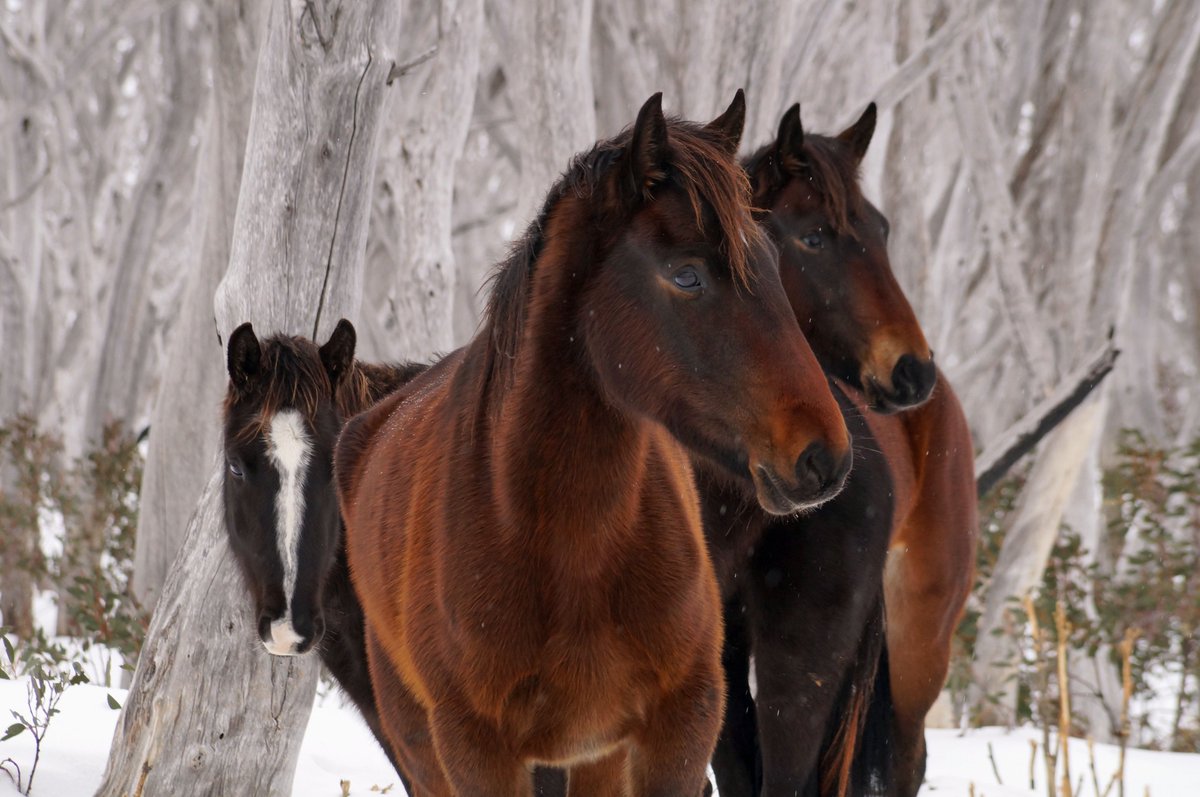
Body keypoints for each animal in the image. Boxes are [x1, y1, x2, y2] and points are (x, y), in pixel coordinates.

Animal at [334, 91, 853, 797]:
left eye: (774, 262)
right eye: (686, 276)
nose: (825, 456)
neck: (568, 547)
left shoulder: (679, 730)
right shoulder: (476, 752)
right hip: (422, 744)